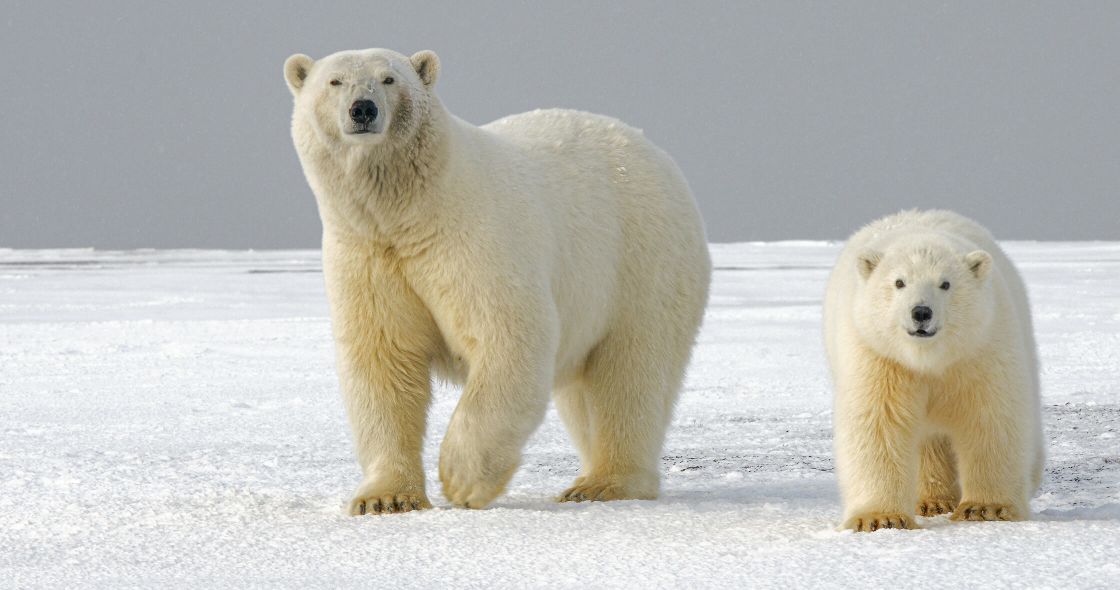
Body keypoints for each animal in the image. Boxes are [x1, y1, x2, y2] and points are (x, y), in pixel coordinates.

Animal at [283, 48, 711, 514]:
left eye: (389, 79)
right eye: (335, 82)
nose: (363, 109)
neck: (411, 211)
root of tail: (656, 152)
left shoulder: (472, 239)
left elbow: (508, 335)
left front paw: (461, 479)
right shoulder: (367, 255)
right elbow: (383, 361)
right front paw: (385, 498)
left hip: (641, 260)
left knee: (630, 372)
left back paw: (604, 483)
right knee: (584, 393)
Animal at [823, 209, 1044, 532]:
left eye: (946, 284)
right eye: (899, 282)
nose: (921, 312)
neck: (929, 359)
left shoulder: (980, 349)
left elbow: (991, 417)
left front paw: (985, 508)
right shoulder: (878, 356)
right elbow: (878, 423)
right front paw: (881, 517)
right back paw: (932, 501)